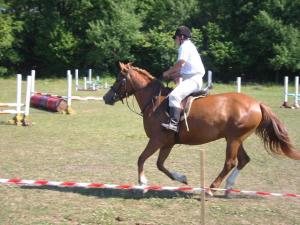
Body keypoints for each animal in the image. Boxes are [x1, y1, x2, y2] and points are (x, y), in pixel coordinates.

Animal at [103, 62, 300, 195]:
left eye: (119, 79)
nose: (106, 98)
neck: (155, 101)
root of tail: (257, 103)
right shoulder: (167, 143)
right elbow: (160, 164)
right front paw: (181, 178)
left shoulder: (156, 140)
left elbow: (141, 159)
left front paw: (142, 183)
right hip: (236, 139)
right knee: (243, 160)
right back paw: (228, 187)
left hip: (233, 139)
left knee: (230, 162)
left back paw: (212, 188)